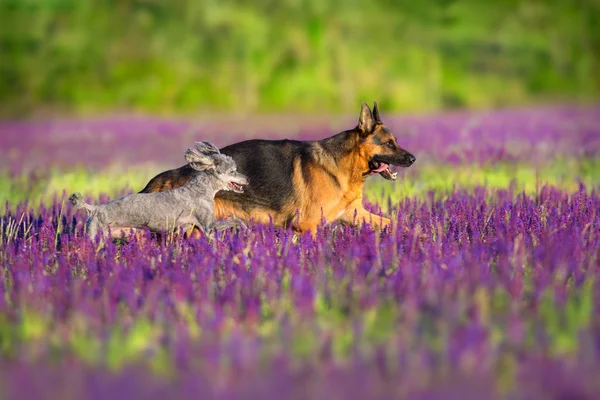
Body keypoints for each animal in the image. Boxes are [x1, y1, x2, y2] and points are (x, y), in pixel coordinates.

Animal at [138, 101, 414, 236]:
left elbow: (394, 223)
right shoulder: (307, 226)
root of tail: (172, 174)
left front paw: (418, 235)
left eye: (396, 141)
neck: (344, 164)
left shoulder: (354, 214)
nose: (413, 159)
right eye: (389, 143)